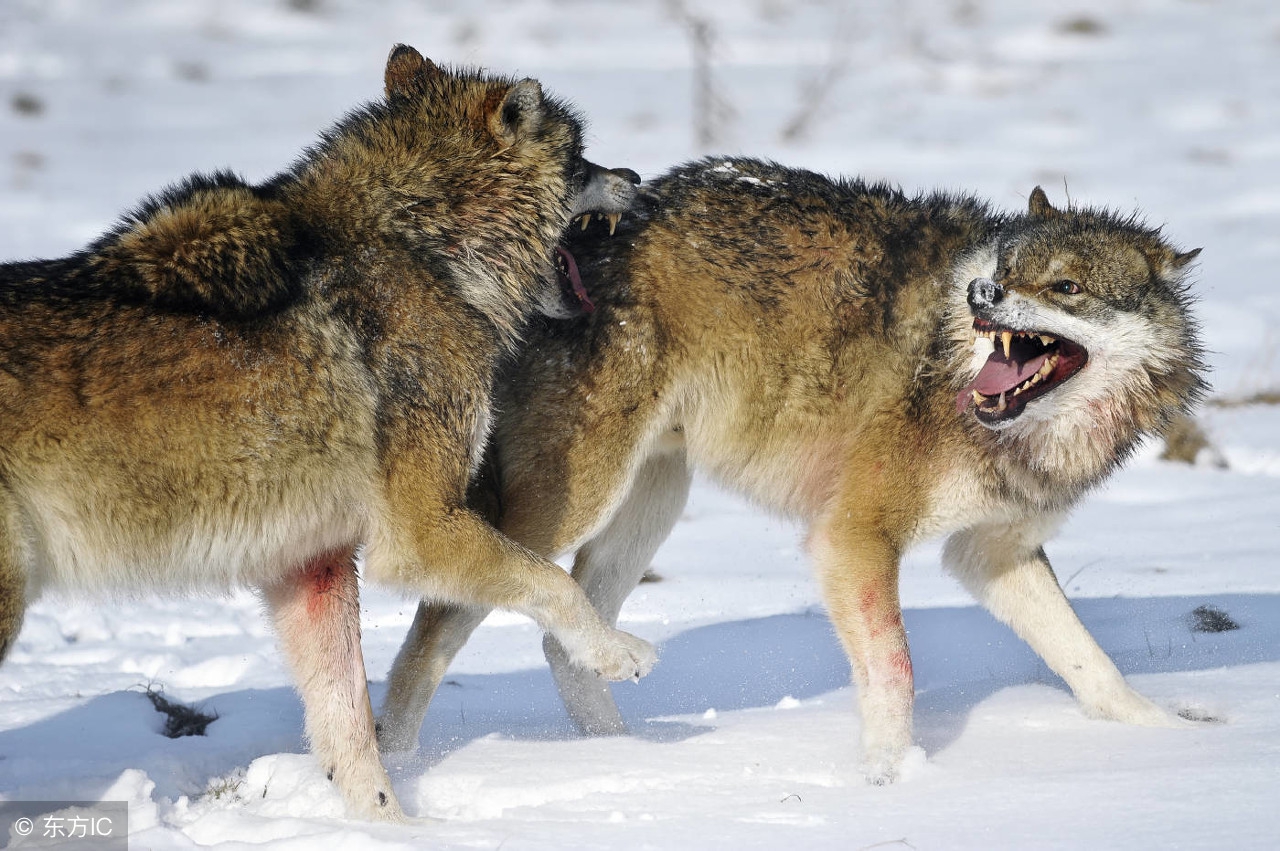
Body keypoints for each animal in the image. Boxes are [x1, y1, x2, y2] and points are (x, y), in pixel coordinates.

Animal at [0, 43, 655, 819]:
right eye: (581, 159)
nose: (637, 180)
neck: (431, 250)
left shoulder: (312, 565)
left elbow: (349, 730)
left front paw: (389, 827)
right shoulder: (421, 534)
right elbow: (553, 583)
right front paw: (618, 653)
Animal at [378, 157, 1208, 783]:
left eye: (1065, 287)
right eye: (1008, 270)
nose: (984, 295)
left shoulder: (990, 551)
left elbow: (1090, 660)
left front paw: (1169, 735)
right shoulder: (853, 539)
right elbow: (896, 675)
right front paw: (892, 780)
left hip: (652, 503)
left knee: (565, 639)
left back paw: (622, 760)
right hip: (568, 505)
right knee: (435, 628)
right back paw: (396, 764)